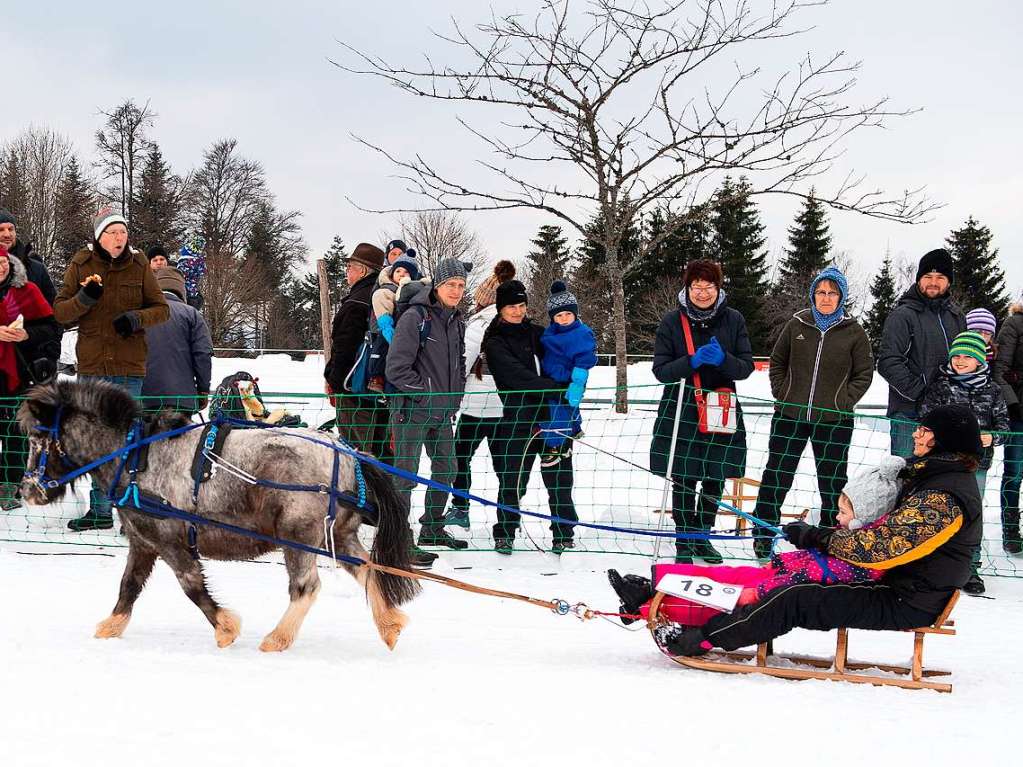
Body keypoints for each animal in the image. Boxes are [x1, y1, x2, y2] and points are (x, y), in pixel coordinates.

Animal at [15, 378, 417, 654]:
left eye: (37, 441)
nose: (27, 490)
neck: (134, 459)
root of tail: (347, 451)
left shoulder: (170, 541)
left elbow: (191, 585)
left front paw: (225, 628)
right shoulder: (144, 542)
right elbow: (129, 586)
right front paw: (111, 626)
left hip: (298, 536)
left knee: (306, 588)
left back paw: (277, 638)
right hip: (341, 535)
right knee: (368, 570)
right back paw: (389, 624)